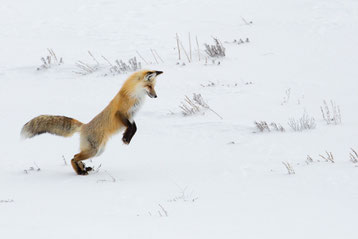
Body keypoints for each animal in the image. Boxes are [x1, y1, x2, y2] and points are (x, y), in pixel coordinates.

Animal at [21, 69, 164, 176]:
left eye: (154, 87)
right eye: (149, 86)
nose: (156, 96)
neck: (134, 97)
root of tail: (84, 126)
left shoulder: (131, 116)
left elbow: (134, 128)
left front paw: (127, 137)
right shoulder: (120, 113)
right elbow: (131, 127)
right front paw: (126, 138)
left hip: (98, 150)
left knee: (76, 156)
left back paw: (83, 168)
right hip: (93, 150)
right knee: (73, 157)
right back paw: (80, 171)